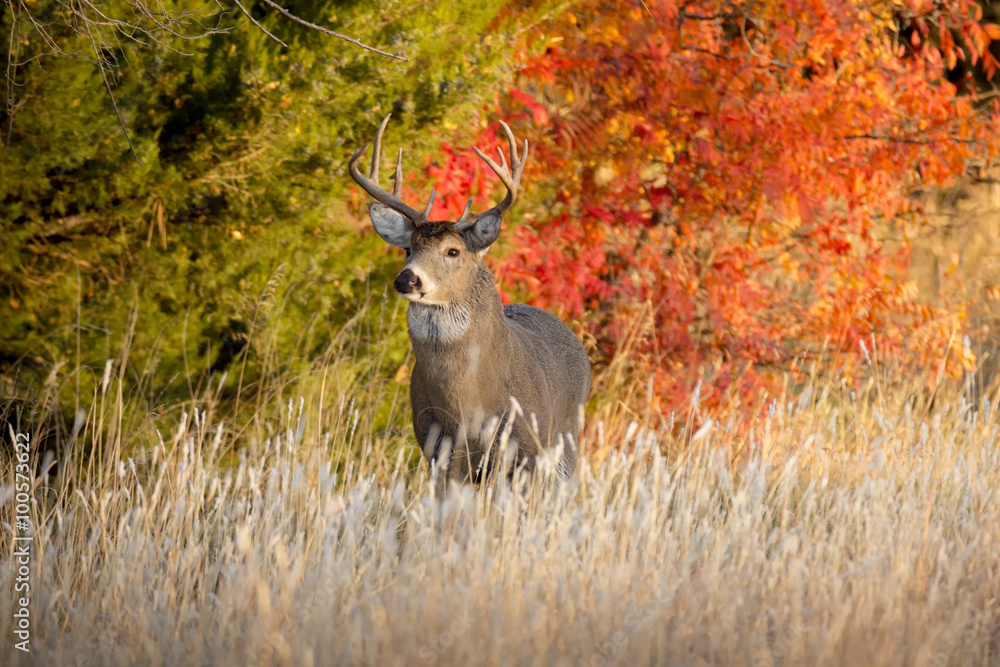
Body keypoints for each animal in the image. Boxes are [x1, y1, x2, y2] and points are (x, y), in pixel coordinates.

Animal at [350, 116, 588, 486]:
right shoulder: (438, 449)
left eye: (453, 251)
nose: (407, 279)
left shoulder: (524, 449)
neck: (467, 404)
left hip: (565, 441)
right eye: (408, 249)